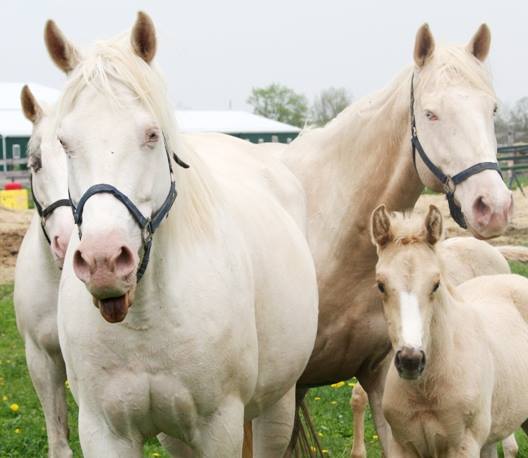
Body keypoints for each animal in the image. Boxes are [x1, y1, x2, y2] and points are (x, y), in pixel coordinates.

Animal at [44, 12, 318, 456]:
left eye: (152, 134)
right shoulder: (104, 430)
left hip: (276, 405)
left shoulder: (219, 428)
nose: (104, 261)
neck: (145, 318)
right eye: (65, 142)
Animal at [370, 205, 528, 458]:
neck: (425, 392)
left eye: (436, 283)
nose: (411, 360)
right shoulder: (401, 446)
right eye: (381, 285)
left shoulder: (463, 445)